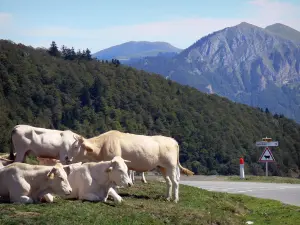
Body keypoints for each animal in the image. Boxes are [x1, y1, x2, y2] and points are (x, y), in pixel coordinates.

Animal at [65, 130, 195, 202]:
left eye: (75, 147)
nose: (66, 158)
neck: (102, 146)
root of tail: (173, 140)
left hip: (171, 165)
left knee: (175, 182)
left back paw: (175, 199)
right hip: (162, 167)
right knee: (168, 182)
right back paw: (167, 197)